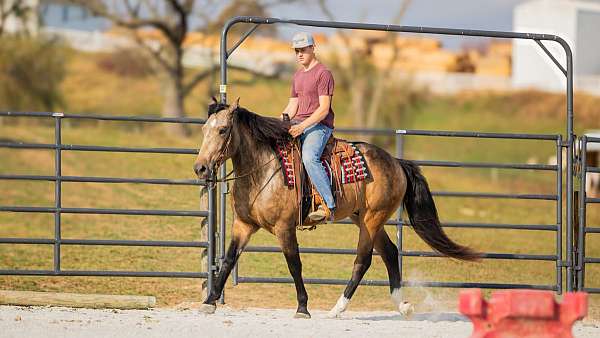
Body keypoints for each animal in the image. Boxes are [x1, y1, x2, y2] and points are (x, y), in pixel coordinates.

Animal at [192, 98, 478, 320]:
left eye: (223, 130)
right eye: (205, 128)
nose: (201, 168)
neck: (264, 170)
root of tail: (396, 162)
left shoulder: (285, 228)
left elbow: (294, 264)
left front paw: (303, 307)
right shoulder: (243, 225)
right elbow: (229, 260)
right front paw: (209, 302)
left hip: (372, 220)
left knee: (362, 261)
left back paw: (338, 308)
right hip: (363, 218)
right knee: (389, 252)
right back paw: (402, 305)